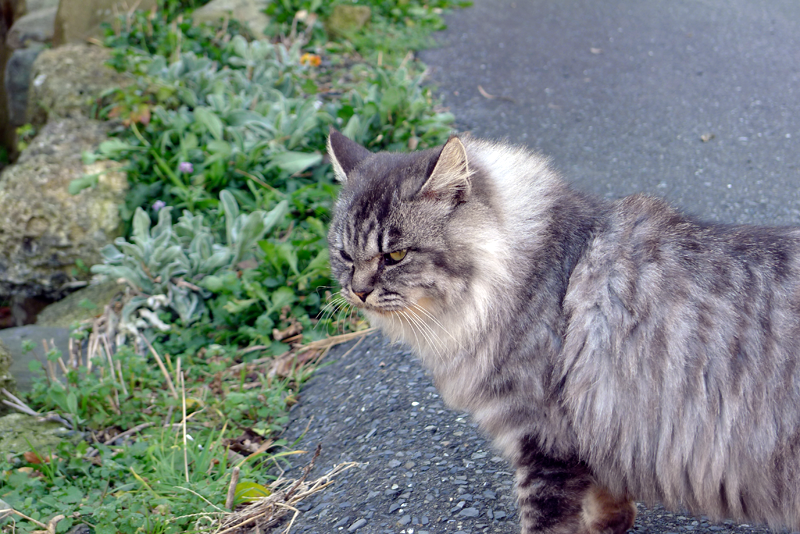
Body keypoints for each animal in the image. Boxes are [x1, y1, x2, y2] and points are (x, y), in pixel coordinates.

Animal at [324, 130, 800, 534]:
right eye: (345, 255)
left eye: (395, 256)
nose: (358, 291)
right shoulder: (589, 437)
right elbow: (608, 495)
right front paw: (608, 525)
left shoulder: (545, 441)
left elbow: (546, 522)